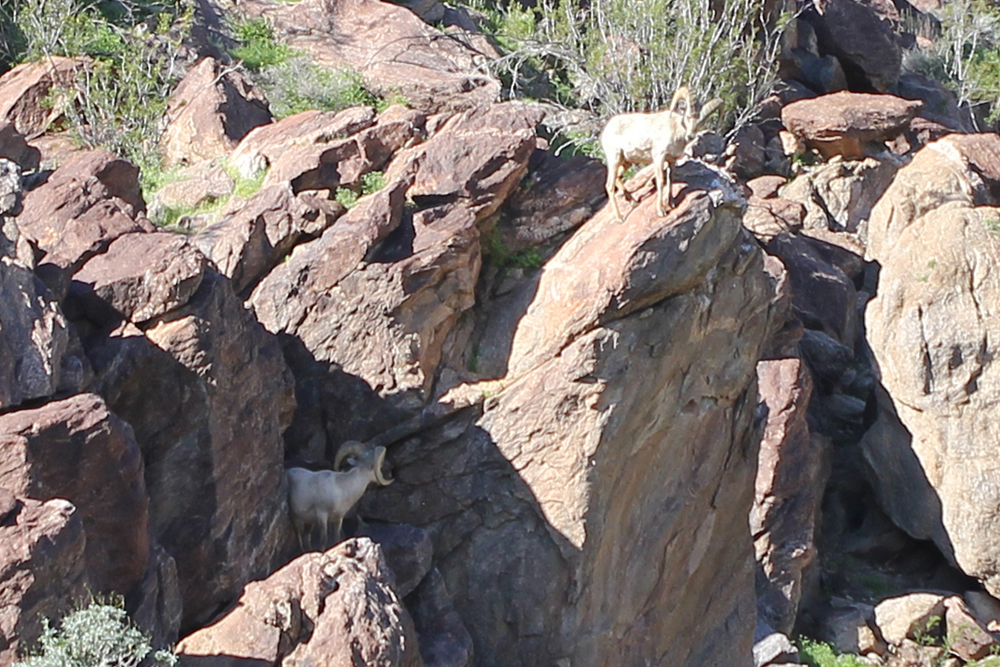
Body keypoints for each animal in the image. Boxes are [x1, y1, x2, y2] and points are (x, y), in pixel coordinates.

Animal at [596, 85, 724, 222]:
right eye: (688, 117)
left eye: (700, 123)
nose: (690, 136)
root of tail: (606, 129)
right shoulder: (659, 158)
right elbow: (661, 182)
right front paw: (661, 211)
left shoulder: (671, 160)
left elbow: (670, 180)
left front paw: (671, 203)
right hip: (614, 159)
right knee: (609, 186)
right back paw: (620, 217)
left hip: (626, 162)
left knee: (618, 178)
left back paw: (634, 202)